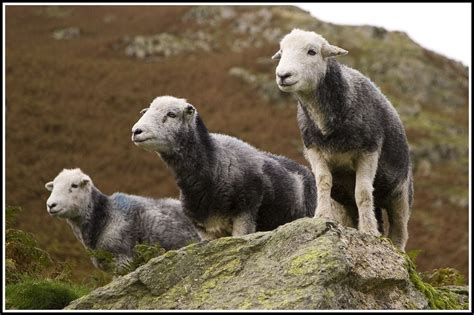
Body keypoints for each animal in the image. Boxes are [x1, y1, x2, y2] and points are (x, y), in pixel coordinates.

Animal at [272, 29, 412, 252]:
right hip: (343, 204)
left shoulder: (369, 151)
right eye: (282, 52)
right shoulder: (314, 150)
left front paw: (369, 231)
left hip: (401, 194)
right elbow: (323, 182)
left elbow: (363, 192)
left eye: (312, 52)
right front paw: (321, 216)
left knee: (399, 230)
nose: (283, 75)